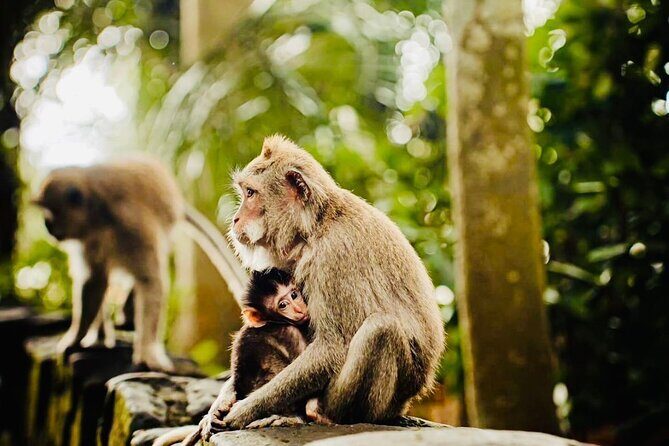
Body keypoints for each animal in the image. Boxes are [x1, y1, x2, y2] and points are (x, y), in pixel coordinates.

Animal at [33, 156, 247, 371]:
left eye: (50, 213)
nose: (46, 225)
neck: (99, 214)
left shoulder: (132, 224)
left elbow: (149, 281)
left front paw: (147, 353)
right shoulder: (88, 239)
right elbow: (94, 281)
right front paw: (76, 339)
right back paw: (103, 333)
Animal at [192, 134, 445, 437]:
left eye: (250, 193)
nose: (235, 219)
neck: (315, 226)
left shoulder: (333, 257)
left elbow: (331, 348)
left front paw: (242, 411)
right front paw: (220, 404)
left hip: (382, 405)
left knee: (382, 329)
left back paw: (320, 414)